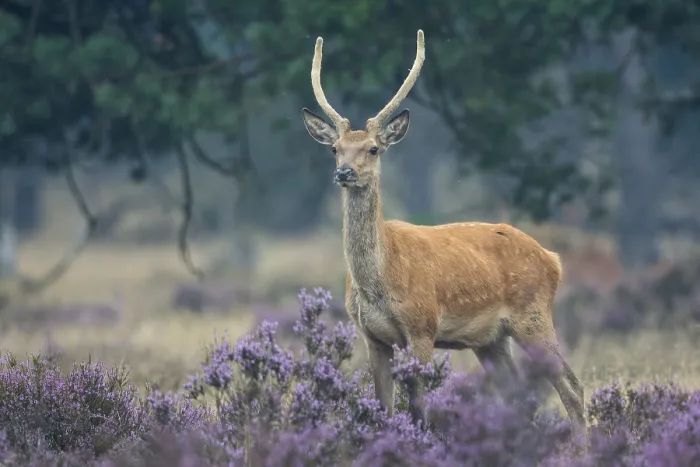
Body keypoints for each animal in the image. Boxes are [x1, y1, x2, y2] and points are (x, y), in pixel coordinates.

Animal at [300, 30, 586, 429]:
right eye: (335, 149)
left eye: (373, 149)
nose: (344, 173)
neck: (381, 280)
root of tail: (554, 260)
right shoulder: (372, 337)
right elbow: (384, 410)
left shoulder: (422, 328)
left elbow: (421, 410)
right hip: (490, 339)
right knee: (521, 395)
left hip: (534, 317)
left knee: (573, 389)